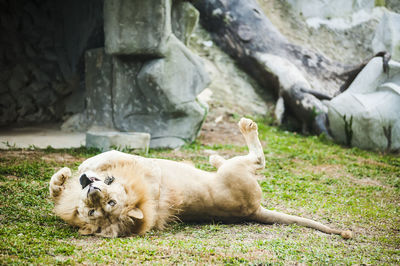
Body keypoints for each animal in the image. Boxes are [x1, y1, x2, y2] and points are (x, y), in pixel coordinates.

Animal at [48, 117, 352, 238]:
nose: (92, 190)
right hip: (236, 171)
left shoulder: (148, 167)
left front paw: (67, 175)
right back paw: (224, 149)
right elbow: (99, 160)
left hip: (234, 170)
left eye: (110, 204)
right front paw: (72, 176)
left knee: (257, 160)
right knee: (256, 161)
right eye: (93, 212)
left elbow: (104, 156)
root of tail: (254, 210)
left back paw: (232, 140)